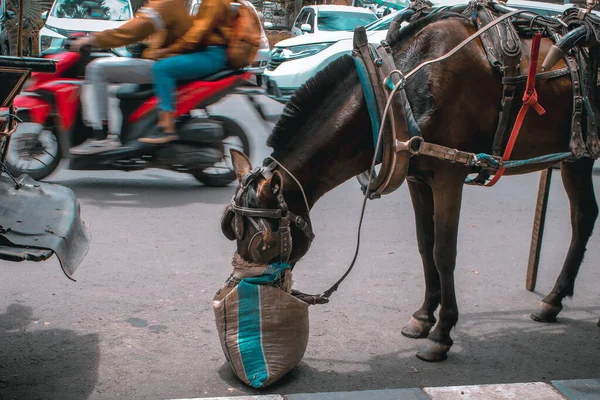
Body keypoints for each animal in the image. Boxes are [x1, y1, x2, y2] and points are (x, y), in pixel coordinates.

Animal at [224, 11, 596, 362]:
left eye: (262, 244)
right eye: (233, 231)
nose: (243, 294)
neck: (394, 91)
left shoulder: (449, 175)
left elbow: (443, 252)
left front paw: (442, 334)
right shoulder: (418, 179)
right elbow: (424, 245)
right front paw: (423, 318)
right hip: (577, 157)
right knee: (585, 217)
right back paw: (553, 301)